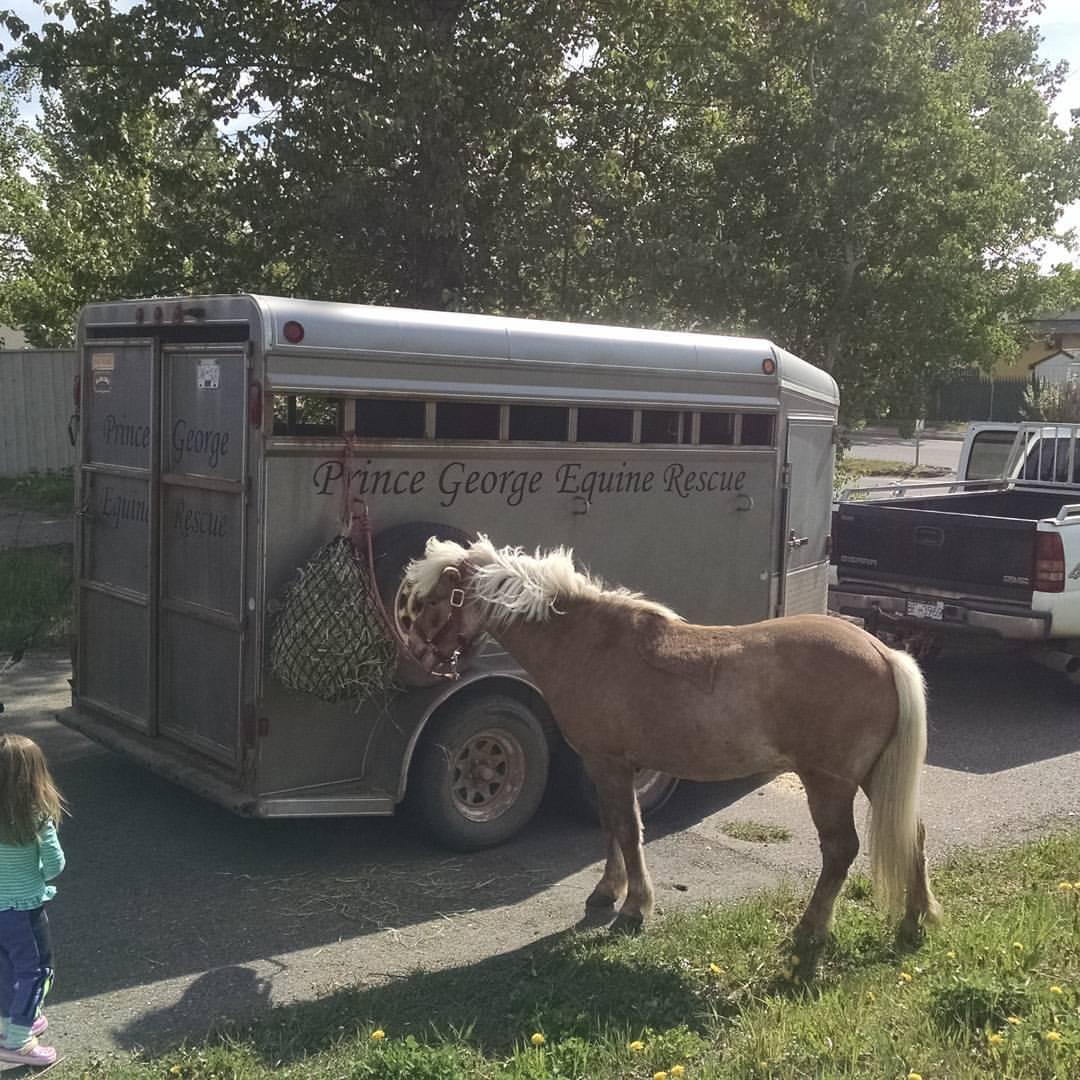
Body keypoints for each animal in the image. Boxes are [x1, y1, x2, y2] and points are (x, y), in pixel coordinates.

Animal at [401, 535, 941, 941]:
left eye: (431, 602)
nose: (421, 662)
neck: (584, 643)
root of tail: (882, 652)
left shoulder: (609, 762)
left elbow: (626, 830)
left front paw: (634, 907)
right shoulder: (605, 766)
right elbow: (612, 827)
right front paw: (608, 892)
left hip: (828, 783)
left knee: (840, 851)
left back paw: (809, 932)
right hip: (872, 776)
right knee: (912, 833)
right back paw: (916, 918)